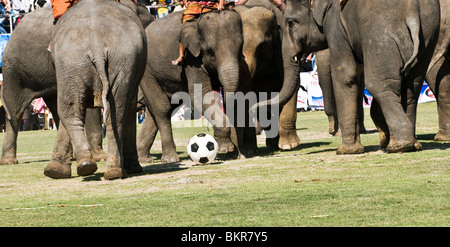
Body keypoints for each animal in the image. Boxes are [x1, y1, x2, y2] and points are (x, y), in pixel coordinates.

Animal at [44, 0, 147, 179]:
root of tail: (96, 42)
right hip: (100, 61)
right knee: (112, 112)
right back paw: (106, 170)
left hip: (77, 62)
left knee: (71, 110)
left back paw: (91, 167)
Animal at [138, 9, 246, 164]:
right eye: (210, 52)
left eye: (240, 48)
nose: (234, 152)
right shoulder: (192, 59)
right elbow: (200, 96)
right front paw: (226, 148)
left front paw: (234, 154)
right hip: (147, 72)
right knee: (162, 109)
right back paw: (170, 159)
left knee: (154, 112)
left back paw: (144, 159)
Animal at [272, 0, 442, 154]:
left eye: (291, 23)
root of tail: (412, 12)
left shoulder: (336, 24)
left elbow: (345, 75)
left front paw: (346, 151)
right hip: (429, 34)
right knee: (413, 86)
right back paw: (412, 144)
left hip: (379, 32)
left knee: (379, 85)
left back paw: (400, 146)